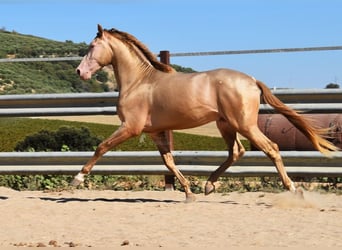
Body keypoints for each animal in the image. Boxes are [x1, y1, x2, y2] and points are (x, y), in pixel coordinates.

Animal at [73, 24, 340, 202]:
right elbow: (168, 162)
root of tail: (252, 80)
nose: (79, 72)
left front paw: (78, 179)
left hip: (244, 125)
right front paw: (188, 192)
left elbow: (101, 147)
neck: (139, 82)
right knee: (236, 151)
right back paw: (209, 186)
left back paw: (293, 189)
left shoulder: (130, 127)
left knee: (271, 148)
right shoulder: (156, 132)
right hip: (226, 125)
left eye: (92, 46)